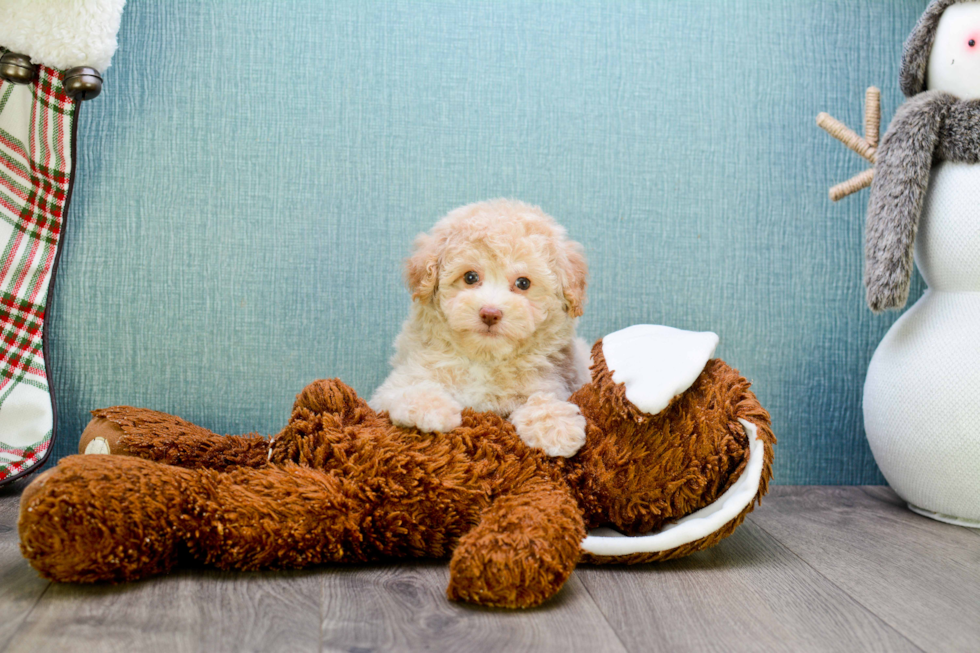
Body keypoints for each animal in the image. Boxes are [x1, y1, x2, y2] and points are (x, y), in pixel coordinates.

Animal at [370, 201, 588, 456]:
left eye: (523, 283)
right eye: (470, 277)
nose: (490, 313)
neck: (484, 358)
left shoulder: (550, 382)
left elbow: (542, 399)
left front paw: (556, 427)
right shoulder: (396, 383)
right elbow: (407, 388)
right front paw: (426, 407)